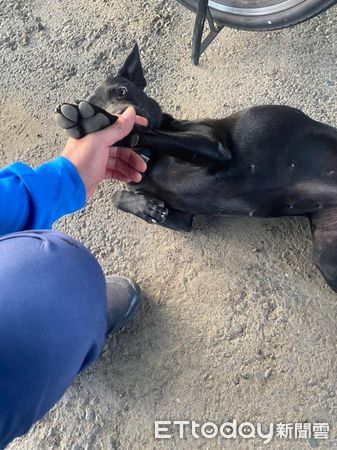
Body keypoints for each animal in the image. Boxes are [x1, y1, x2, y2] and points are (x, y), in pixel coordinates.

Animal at [55, 44, 337, 294]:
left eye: (122, 91)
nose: (122, 111)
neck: (150, 160)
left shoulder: (213, 147)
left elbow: (150, 133)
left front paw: (101, 122)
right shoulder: (181, 217)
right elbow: (121, 197)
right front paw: (145, 207)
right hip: (327, 258)